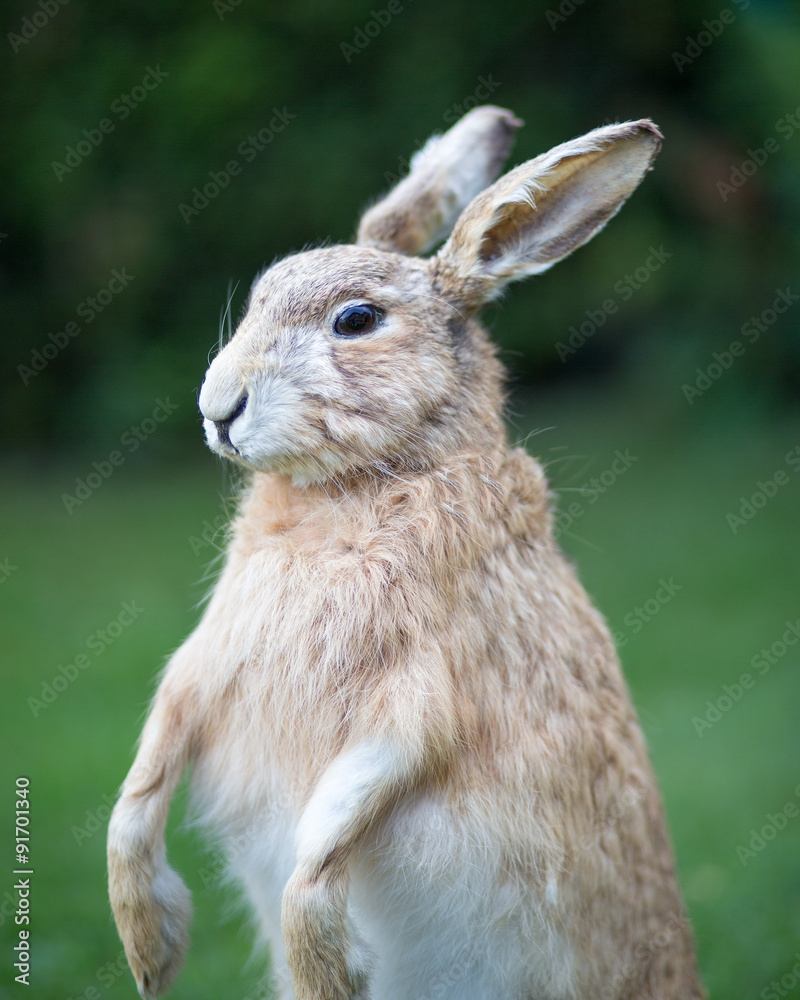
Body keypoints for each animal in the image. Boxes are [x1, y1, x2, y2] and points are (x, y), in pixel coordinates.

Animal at [108, 105, 705, 1000]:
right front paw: (151, 951)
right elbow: (139, 790)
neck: (358, 489)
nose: (219, 408)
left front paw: (328, 974)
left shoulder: (418, 703)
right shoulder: (204, 668)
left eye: (356, 321)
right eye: (261, 293)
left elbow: (323, 843)